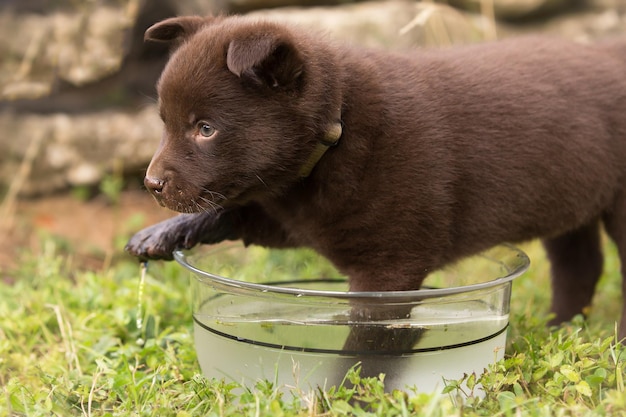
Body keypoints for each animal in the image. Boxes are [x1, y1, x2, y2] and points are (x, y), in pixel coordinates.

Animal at [125, 14, 624, 342]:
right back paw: (560, 330)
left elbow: (369, 335)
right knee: (580, 265)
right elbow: (234, 212)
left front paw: (352, 390)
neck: (338, 131)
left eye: (206, 129)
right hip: (572, 194)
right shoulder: (291, 217)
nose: (151, 185)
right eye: (165, 122)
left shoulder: (390, 267)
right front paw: (162, 233)